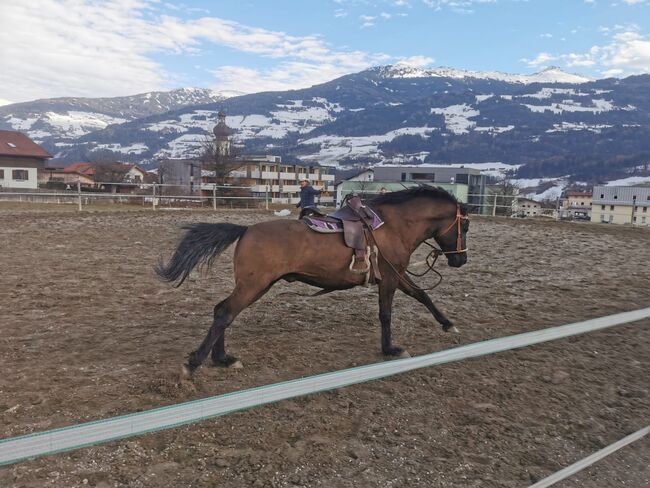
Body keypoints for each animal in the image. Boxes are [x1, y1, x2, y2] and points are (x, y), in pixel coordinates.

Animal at [157, 187, 470, 374]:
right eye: (464, 226)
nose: (461, 260)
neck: (393, 225)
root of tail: (246, 230)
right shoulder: (390, 279)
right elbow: (386, 314)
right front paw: (390, 349)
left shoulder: (398, 275)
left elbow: (422, 295)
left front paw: (447, 324)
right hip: (253, 286)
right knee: (224, 312)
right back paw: (196, 362)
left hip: (255, 286)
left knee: (221, 311)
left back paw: (222, 358)